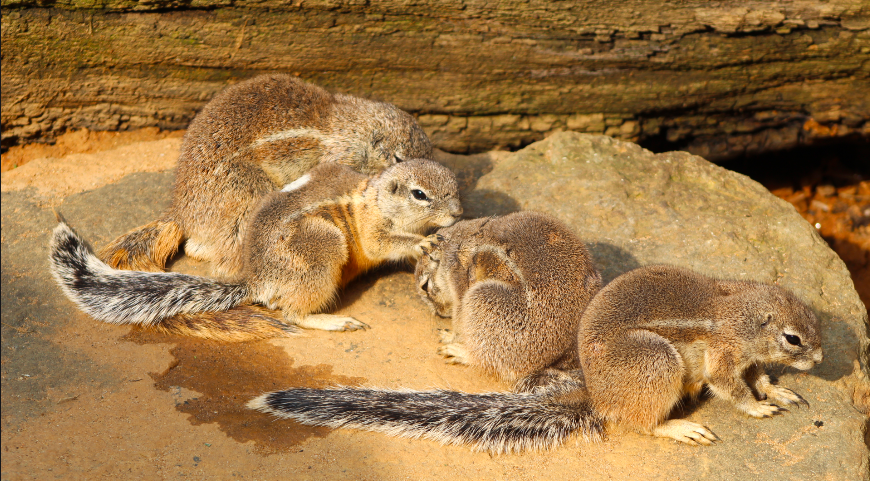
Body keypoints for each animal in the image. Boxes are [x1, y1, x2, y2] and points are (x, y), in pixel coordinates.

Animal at [50, 159, 462, 341]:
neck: (376, 195)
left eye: (455, 184)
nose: (459, 212)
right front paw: (421, 242)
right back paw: (335, 321)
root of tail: (255, 279)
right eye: (420, 194)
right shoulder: (372, 226)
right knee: (293, 313)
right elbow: (383, 243)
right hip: (324, 247)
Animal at [248, 264, 823, 453]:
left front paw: (779, 390)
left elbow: (758, 377)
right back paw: (680, 427)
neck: (742, 314)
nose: (819, 359)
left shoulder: (746, 358)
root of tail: (595, 392)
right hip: (657, 363)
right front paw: (759, 406)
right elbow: (733, 387)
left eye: (815, 321)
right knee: (637, 421)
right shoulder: (724, 357)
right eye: (794, 338)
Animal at [412, 211, 601, 384]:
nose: (439, 313)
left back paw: (461, 353)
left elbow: (459, 319)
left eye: (425, 286)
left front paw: (451, 336)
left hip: (482, 297)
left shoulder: (458, 277)